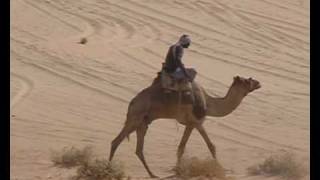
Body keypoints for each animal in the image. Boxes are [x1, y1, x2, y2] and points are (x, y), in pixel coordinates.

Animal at [109, 74, 262, 177]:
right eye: (248, 80)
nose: (259, 83)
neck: (209, 104)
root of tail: (132, 102)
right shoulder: (197, 122)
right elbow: (211, 146)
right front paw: (221, 169)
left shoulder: (190, 124)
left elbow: (181, 148)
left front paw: (177, 171)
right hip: (135, 118)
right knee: (116, 141)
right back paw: (109, 168)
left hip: (143, 123)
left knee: (138, 149)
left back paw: (153, 174)